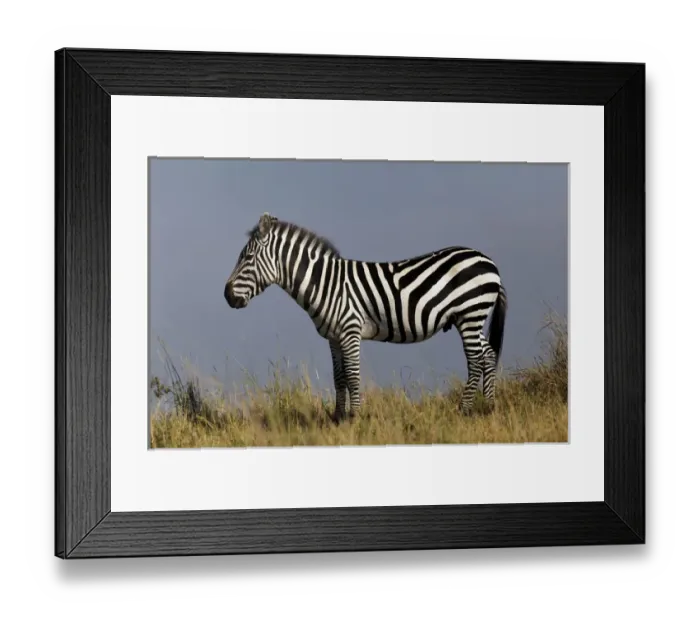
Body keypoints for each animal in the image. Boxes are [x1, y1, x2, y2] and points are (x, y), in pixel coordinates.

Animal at [224, 212, 507, 423]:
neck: (327, 284)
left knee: (475, 360)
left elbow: (352, 375)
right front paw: (337, 419)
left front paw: (356, 418)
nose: (227, 295)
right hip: (473, 317)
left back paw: (465, 411)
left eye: (247, 258)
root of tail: (489, 261)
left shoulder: (350, 330)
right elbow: (339, 377)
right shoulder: (334, 337)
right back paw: (488, 407)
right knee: (488, 354)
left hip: (470, 313)